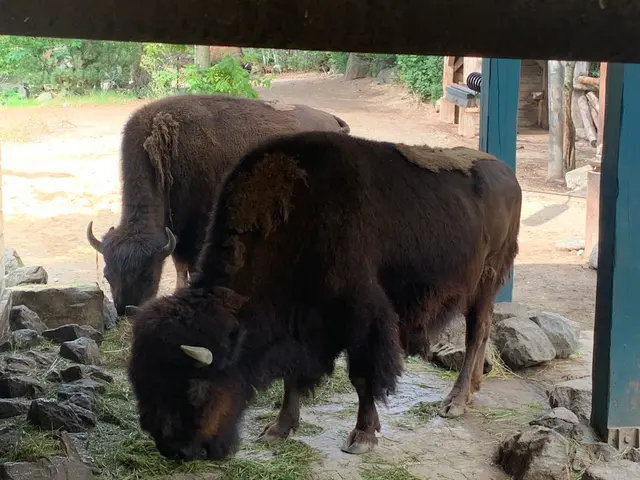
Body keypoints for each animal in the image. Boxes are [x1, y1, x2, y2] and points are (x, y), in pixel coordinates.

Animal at [86, 94, 350, 315]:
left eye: (148, 275)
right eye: (107, 275)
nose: (125, 310)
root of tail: (333, 121)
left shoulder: (197, 231)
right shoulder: (177, 234)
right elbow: (180, 266)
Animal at [127, 131, 522, 461]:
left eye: (195, 388)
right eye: (141, 381)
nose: (176, 450)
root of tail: (508, 175)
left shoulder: (362, 316)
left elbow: (361, 377)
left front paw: (362, 436)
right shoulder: (299, 324)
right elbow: (292, 376)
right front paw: (279, 428)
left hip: (485, 283)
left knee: (476, 335)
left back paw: (455, 402)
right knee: (482, 334)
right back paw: (472, 390)